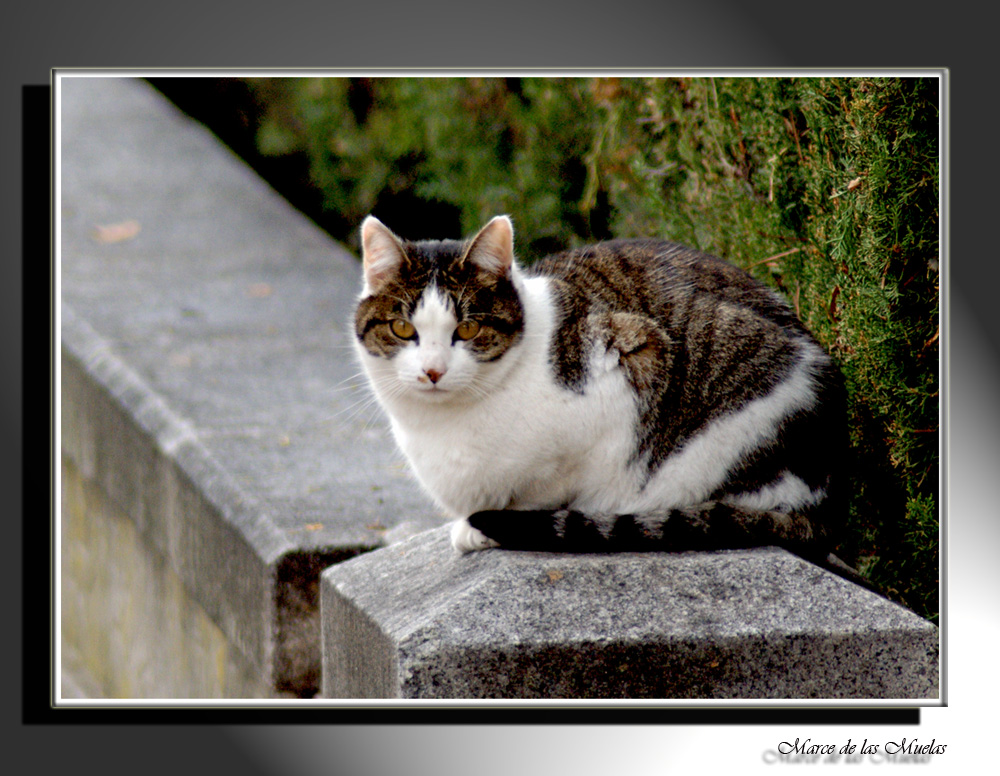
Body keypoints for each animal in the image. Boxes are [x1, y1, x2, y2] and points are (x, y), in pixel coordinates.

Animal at [352, 212, 860, 584]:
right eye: (403, 329)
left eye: (469, 329)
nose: (433, 371)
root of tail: (833, 499)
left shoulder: (628, 359)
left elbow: (552, 486)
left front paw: (486, 526)